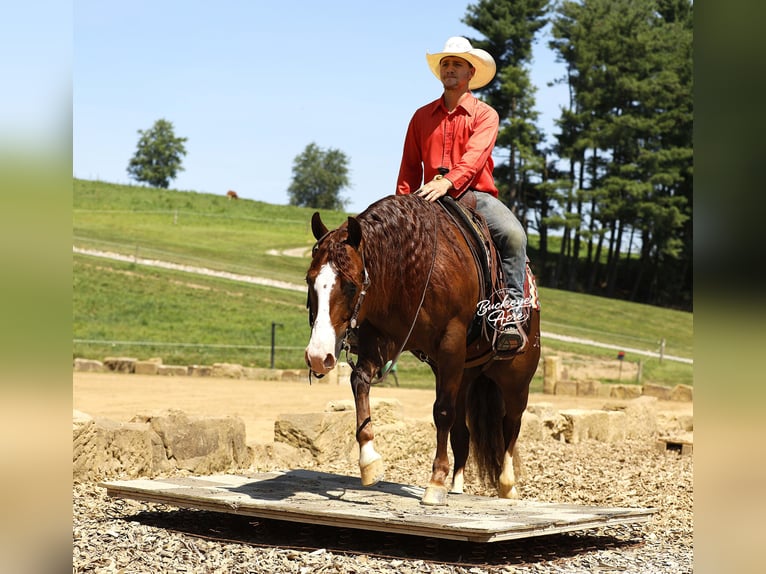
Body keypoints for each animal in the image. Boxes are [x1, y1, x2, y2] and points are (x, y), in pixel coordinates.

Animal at [304, 194, 541, 506]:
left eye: (351, 286)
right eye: (309, 280)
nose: (318, 357)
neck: (416, 263)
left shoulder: (451, 343)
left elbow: (442, 412)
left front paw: (435, 482)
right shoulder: (382, 342)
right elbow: (359, 383)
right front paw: (369, 461)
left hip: (515, 379)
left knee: (510, 425)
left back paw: (507, 484)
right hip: (463, 375)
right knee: (462, 433)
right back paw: (458, 486)